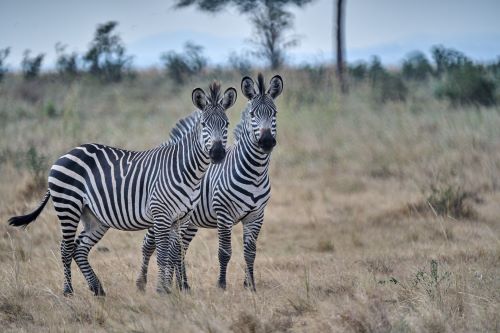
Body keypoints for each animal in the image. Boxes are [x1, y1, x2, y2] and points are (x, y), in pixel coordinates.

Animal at [7, 81, 238, 294]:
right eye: (204, 124)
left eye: (226, 124)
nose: (218, 154)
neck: (188, 171)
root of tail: (66, 153)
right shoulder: (161, 214)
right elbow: (163, 254)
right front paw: (162, 291)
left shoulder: (180, 218)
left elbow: (174, 253)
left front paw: (169, 289)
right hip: (68, 205)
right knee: (65, 247)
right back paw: (68, 291)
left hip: (94, 216)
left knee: (79, 248)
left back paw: (97, 289)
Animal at [137, 73, 284, 290]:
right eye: (252, 115)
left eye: (274, 113)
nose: (266, 142)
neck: (255, 173)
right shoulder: (224, 214)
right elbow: (224, 252)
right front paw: (221, 285)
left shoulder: (256, 216)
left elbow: (250, 252)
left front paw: (250, 286)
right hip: (161, 215)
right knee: (149, 245)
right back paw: (144, 283)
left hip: (189, 222)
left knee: (179, 250)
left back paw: (182, 286)